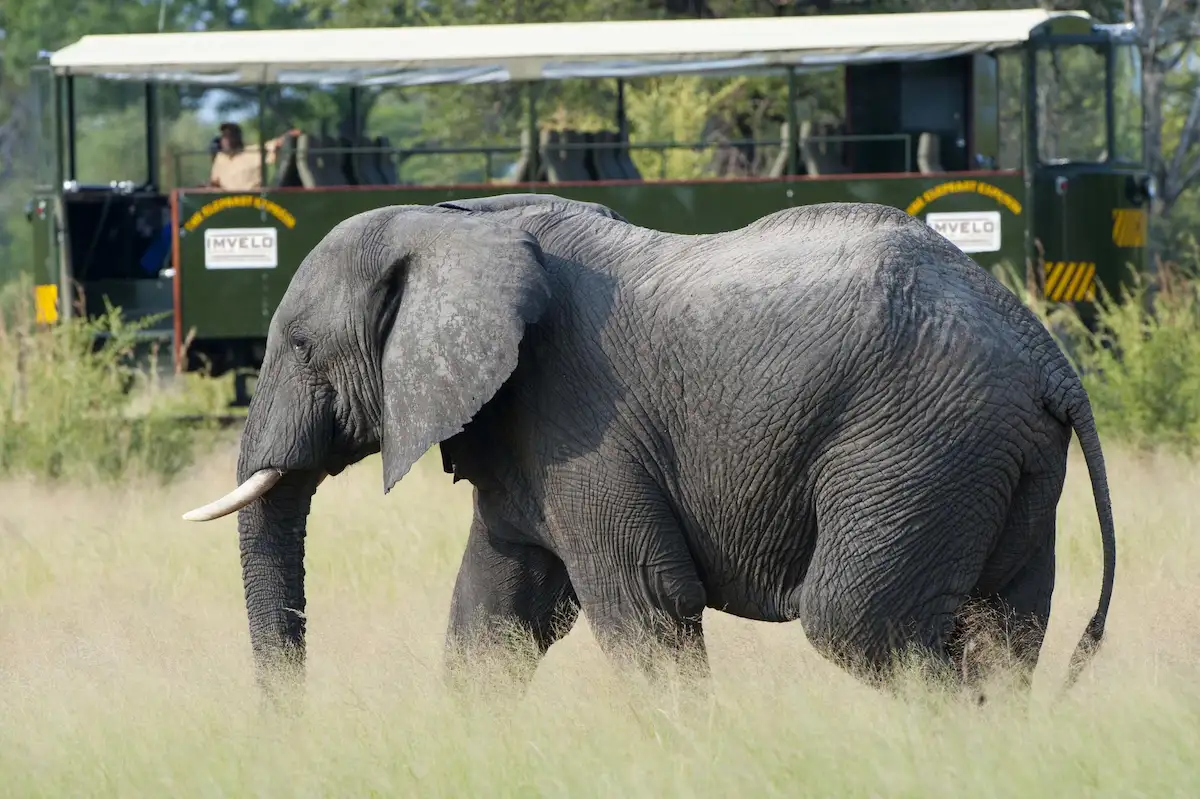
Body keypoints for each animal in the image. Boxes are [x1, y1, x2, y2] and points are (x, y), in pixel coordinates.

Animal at [184, 191, 1113, 695]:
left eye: (301, 346)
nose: (289, 724)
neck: (458, 221)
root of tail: (1045, 354)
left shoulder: (582, 419)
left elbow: (644, 605)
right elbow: (493, 613)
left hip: (916, 444)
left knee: (858, 617)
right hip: (999, 458)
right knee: (1004, 631)